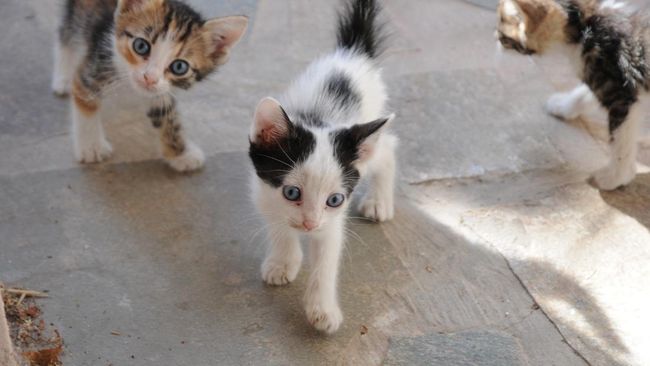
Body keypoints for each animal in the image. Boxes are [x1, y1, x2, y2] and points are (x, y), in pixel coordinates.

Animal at [52, 0, 246, 172]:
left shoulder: (162, 92)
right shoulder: (96, 65)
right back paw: (62, 77)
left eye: (179, 67)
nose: (150, 78)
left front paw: (180, 154)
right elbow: (85, 100)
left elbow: (167, 116)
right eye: (141, 46)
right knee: (66, 32)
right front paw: (91, 147)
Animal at [246, 0, 392, 334]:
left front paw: (322, 310)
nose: (310, 224)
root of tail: (351, 53)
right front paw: (283, 262)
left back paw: (379, 201)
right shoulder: (263, 194)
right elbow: (279, 226)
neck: (318, 121)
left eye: (334, 199)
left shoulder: (332, 222)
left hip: (368, 140)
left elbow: (326, 260)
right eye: (291, 192)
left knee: (389, 148)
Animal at [496, 0, 648, 189]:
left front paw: (616, 176)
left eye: (503, 37)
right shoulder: (603, 78)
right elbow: (585, 93)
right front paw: (564, 106)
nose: (495, 38)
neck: (583, 25)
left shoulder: (620, 92)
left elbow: (621, 139)